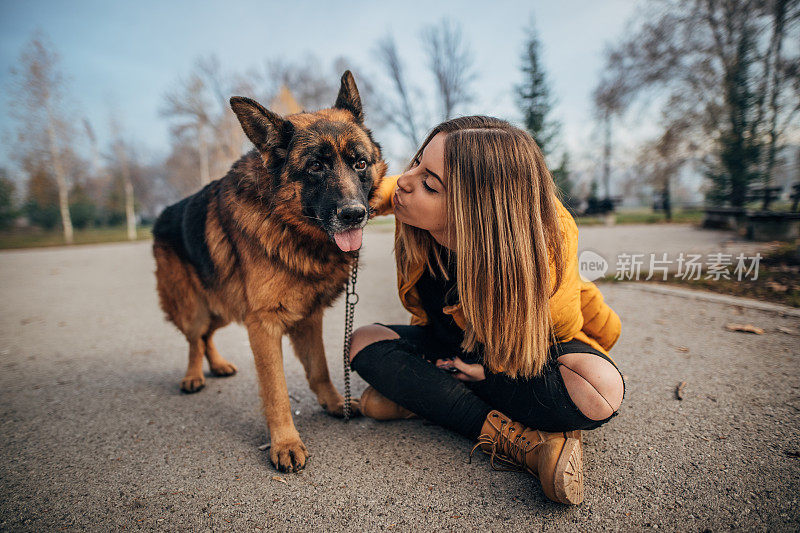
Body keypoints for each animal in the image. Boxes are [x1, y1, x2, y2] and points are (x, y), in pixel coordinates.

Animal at [152, 70, 388, 470]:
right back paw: (194, 375)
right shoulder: (263, 324)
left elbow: (320, 368)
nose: (355, 214)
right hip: (195, 307)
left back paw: (217, 365)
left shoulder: (307, 317)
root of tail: (162, 214)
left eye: (360, 164)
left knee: (206, 337)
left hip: (222, 307)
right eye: (315, 167)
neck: (287, 223)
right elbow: (276, 391)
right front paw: (285, 442)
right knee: (194, 339)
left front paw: (333, 403)